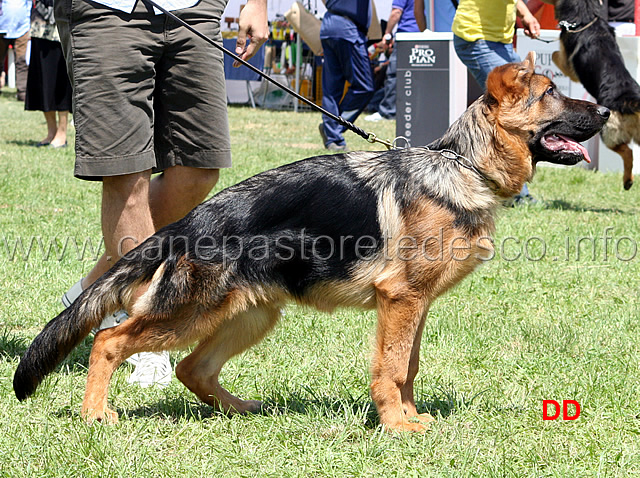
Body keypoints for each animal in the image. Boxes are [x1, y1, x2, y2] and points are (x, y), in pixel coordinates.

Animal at [12, 53, 608, 434]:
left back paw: (242, 410)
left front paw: (410, 417)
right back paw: (96, 415)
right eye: (551, 94)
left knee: (192, 369)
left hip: (250, 316)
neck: (462, 165)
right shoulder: (400, 300)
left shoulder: (415, 306)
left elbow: (409, 367)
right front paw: (396, 427)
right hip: (190, 314)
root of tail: (186, 224)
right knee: (109, 341)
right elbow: (391, 369)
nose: (606, 111)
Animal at [552, 0, 636, 190]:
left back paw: (627, 181)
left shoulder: (568, 66)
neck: (587, 17)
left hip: (608, 134)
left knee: (628, 151)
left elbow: (554, 54)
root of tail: (630, 99)